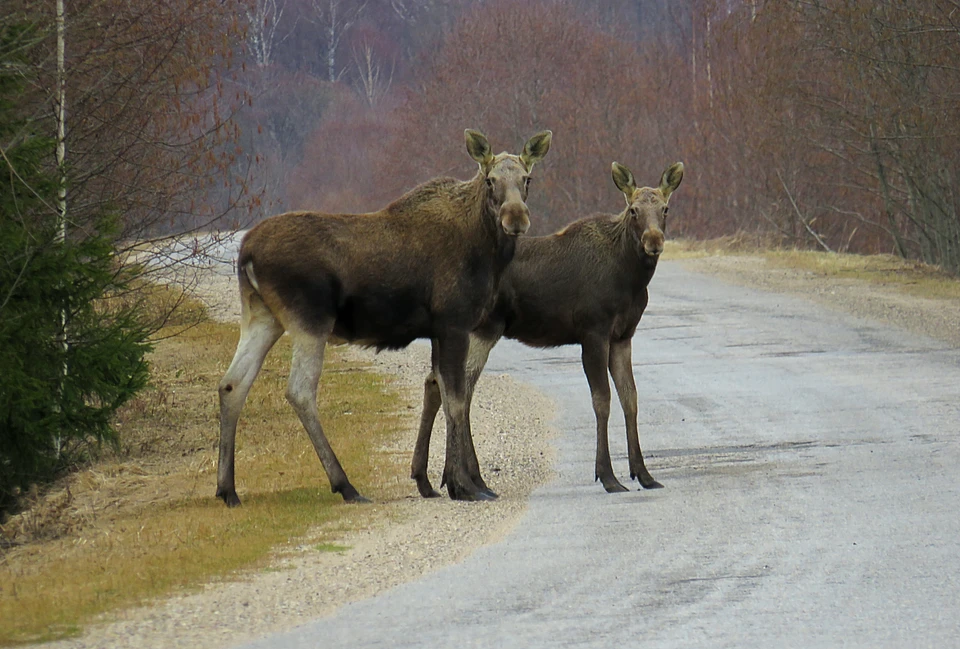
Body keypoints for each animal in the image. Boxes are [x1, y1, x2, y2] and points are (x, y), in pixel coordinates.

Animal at [214, 129, 552, 504]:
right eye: (491, 180)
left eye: (527, 178)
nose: (516, 219)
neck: (489, 253)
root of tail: (246, 252)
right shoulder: (454, 323)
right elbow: (456, 398)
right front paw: (463, 484)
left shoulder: (440, 330)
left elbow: (442, 390)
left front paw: (440, 480)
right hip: (309, 320)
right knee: (299, 391)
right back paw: (345, 484)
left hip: (261, 316)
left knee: (232, 384)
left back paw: (227, 489)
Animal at [412, 159, 684, 494]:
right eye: (633, 210)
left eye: (665, 208)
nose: (654, 241)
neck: (630, 279)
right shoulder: (593, 332)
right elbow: (602, 400)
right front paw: (607, 476)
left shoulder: (623, 336)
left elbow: (630, 398)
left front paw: (643, 474)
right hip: (481, 329)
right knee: (454, 388)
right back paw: (464, 479)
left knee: (440, 384)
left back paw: (433, 478)